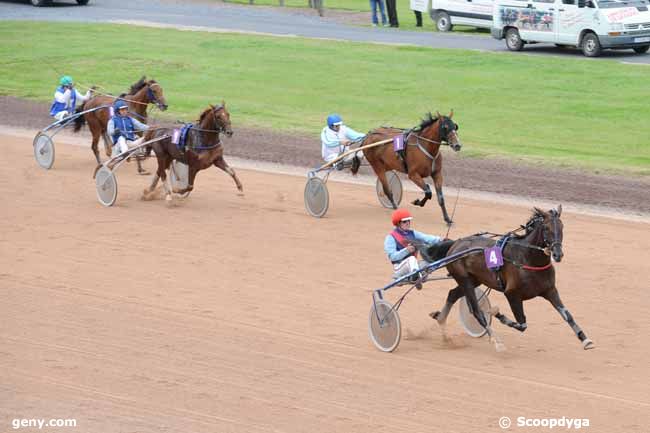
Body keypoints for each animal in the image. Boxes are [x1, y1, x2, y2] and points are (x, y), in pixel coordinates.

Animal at [430, 206, 592, 352]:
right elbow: (522, 324)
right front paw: (497, 313)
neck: (528, 258)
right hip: (464, 279)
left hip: (474, 280)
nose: (558, 254)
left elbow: (567, 315)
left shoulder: (550, 290)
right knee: (476, 311)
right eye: (546, 228)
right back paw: (496, 341)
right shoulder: (512, 294)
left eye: (562, 226)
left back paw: (441, 321)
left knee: (452, 294)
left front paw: (585, 339)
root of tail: (456, 243)